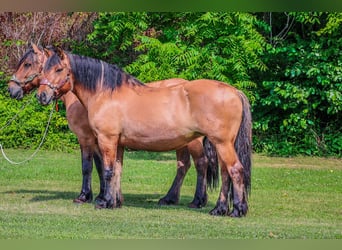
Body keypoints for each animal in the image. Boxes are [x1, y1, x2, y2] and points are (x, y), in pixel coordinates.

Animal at [36, 47, 251, 217]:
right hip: (219, 144)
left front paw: (104, 202)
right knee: (224, 173)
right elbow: (117, 170)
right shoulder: (119, 144)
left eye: (59, 69)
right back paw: (219, 209)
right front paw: (115, 202)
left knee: (235, 170)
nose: (42, 96)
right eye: (44, 69)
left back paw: (236, 210)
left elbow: (107, 171)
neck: (106, 93)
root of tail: (234, 91)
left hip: (221, 143)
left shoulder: (106, 139)